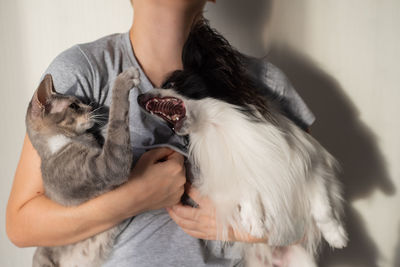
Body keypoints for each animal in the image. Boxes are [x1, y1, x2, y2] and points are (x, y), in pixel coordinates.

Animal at [25, 67, 141, 267]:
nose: (91, 107)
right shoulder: (108, 166)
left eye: (80, 102)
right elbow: (116, 125)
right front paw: (124, 79)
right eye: (73, 106)